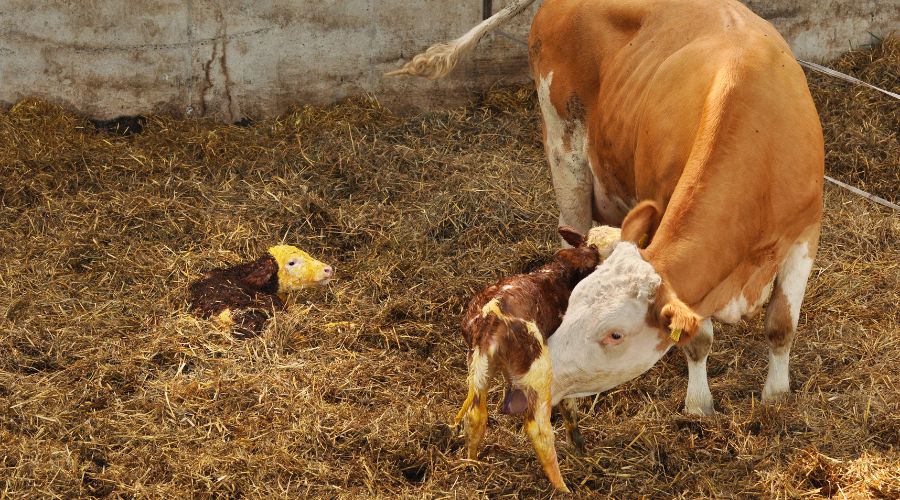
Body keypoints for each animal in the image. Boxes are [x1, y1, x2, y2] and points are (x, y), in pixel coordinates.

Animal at [391, 0, 823, 424]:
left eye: (615, 334)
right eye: (571, 306)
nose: (538, 382)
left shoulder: (806, 233)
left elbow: (781, 326)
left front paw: (776, 397)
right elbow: (698, 337)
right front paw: (699, 404)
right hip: (563, 145)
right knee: (569, 227)